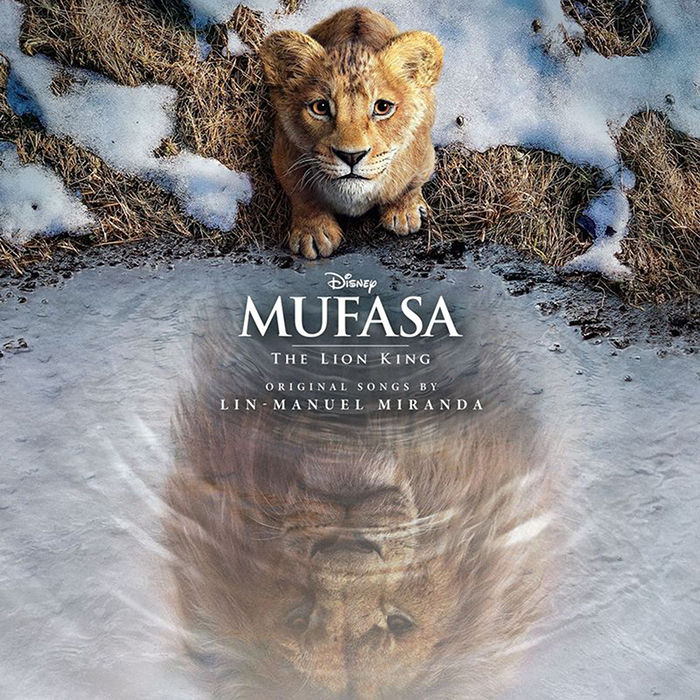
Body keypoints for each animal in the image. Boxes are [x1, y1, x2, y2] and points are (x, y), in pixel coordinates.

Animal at [259, 8, 444, 259]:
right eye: (320, 107)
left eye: (382, 107)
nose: (351, 156)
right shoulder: (284, 155)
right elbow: (302, 195)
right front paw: (313, 233)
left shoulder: (424, 156)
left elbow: (410, 186)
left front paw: (404, 213)